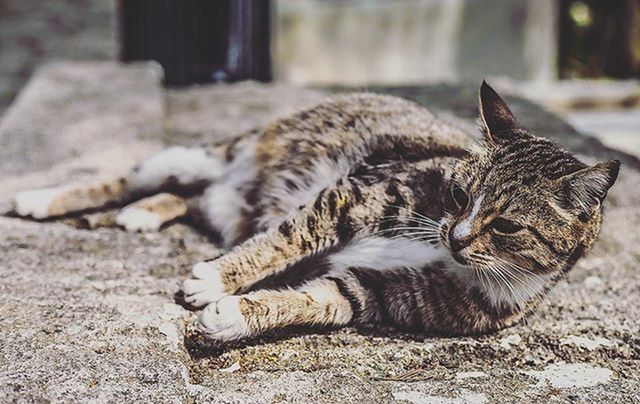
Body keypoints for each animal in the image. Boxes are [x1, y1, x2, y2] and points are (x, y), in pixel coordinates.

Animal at [12, 81, 616, 340]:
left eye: (508, 225)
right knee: (129, 177)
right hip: (203, 153)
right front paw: (216, 279)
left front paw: (232, 315)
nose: (456, 235)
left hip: (219, 197)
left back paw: (148, 212)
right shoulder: (353, 196)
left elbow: (314, 300)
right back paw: (37, 198)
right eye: (458, 196)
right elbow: (287, 239)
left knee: (191, 197)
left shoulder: (377, 292)